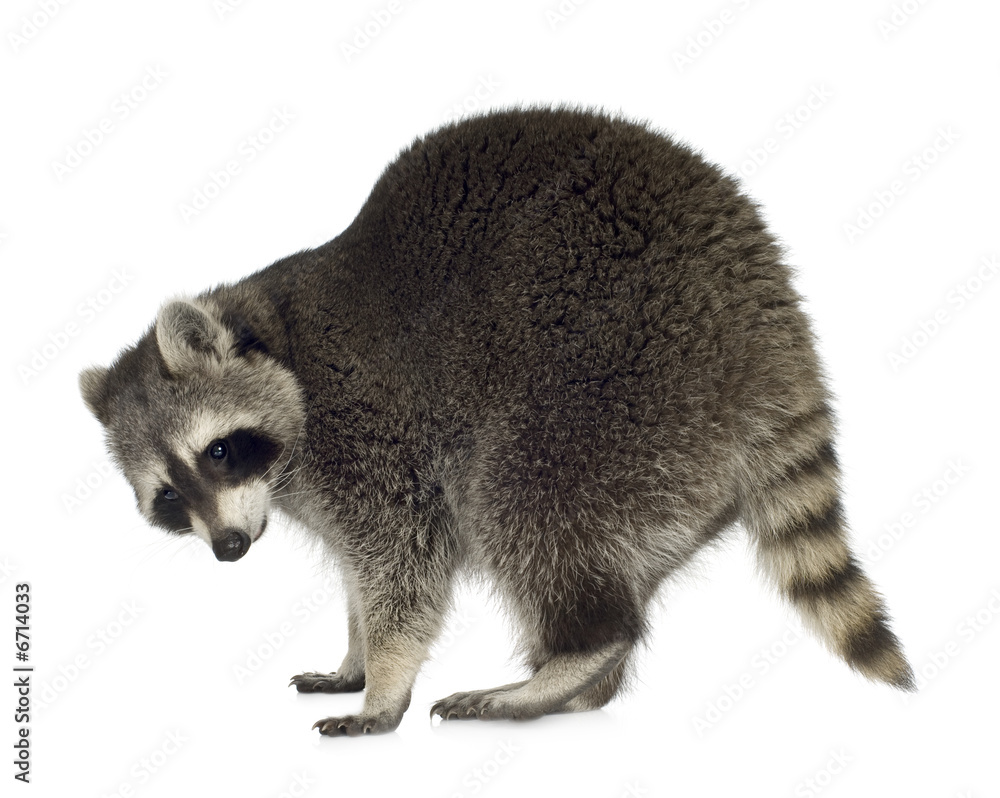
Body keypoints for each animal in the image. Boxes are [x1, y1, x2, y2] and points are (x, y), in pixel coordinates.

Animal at [80, 107, 914, 737]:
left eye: (219, 451)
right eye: (167, 496)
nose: (226, 548)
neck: (276, 334)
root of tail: (770, 321)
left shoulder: (367, 429)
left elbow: (402, 558)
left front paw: (385, 680)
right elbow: (359, 571)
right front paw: (355, 654)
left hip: (619, 378)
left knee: (522, 501)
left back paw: (578, 654)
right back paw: (584, 680)